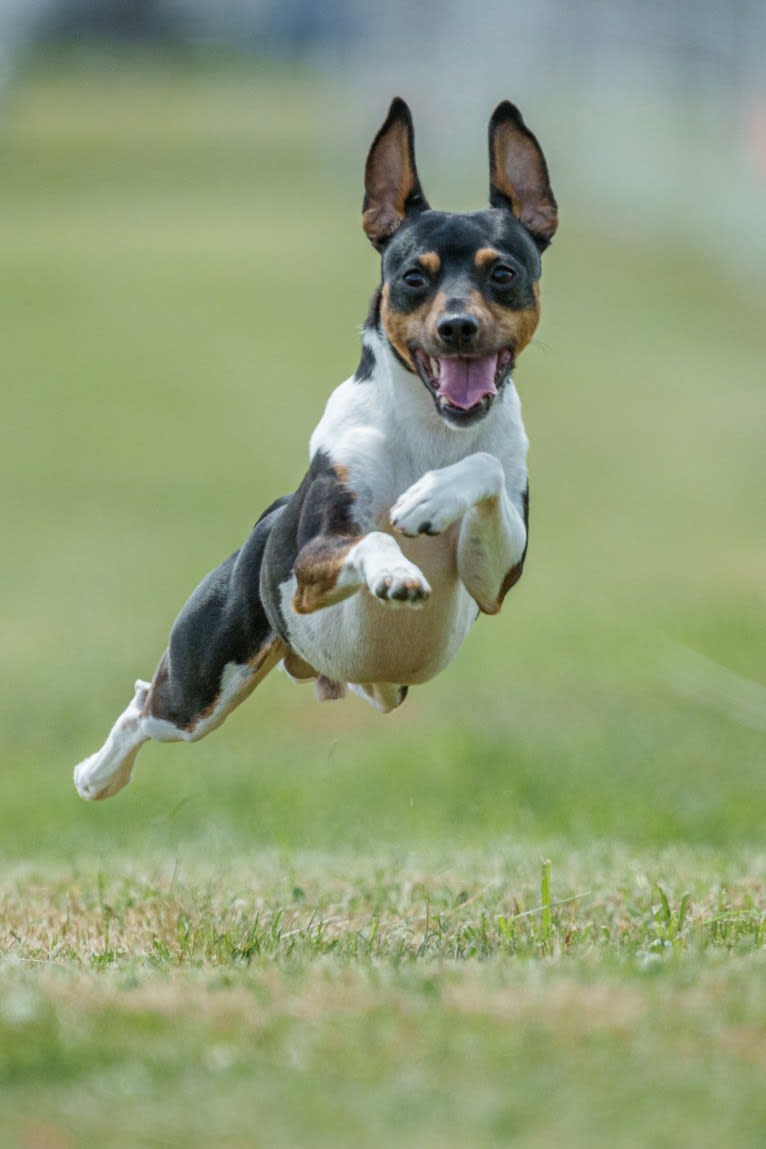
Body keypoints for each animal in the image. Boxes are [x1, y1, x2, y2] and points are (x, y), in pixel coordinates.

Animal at [74, 98, 558, 799]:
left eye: (503, 272)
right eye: (413, 278)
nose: (458, 327)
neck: (433, 433)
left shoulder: (493, 578)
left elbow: (487, 465)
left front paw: (429, 501)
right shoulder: (312, 565)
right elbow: (373, 536)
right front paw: (396, 565)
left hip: (380, 684)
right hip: (203, 681)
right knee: (146, 705)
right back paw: (96, 776)